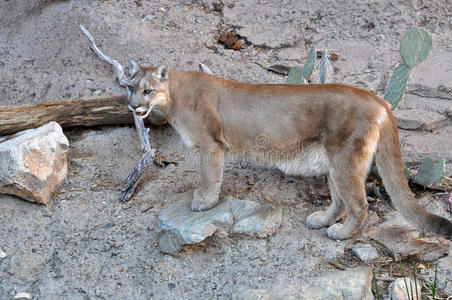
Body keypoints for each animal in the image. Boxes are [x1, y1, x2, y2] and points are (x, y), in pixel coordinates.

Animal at [126, 59, 452, 240]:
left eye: (148, 90)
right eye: (129, 87)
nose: (132, 106)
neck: (174, 95)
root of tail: (378, 99)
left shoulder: (210, 147)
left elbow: (209, 178)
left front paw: (203, 202)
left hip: (346, 161)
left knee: (360, 205)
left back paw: (341, 235)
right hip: (334, 163)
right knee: (340, 202)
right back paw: (321, 221)